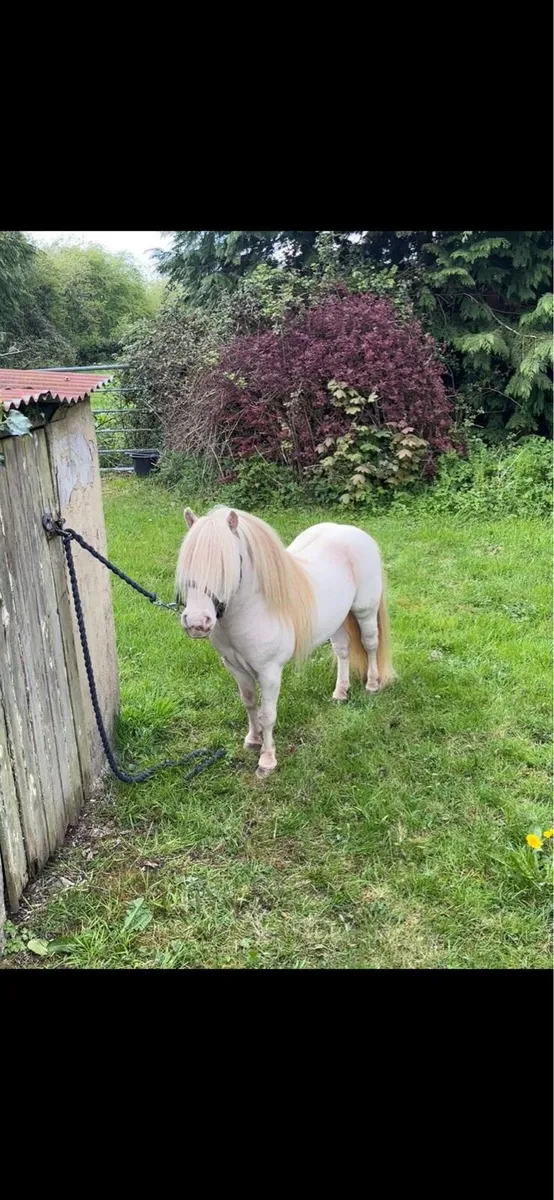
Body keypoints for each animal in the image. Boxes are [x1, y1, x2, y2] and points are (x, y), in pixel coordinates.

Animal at [176, 505, 394, 778]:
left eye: (227, 564)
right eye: (187, 563)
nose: (197, 623)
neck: (253, 609)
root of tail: (353, 532)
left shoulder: (270, 672)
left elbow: (268, 714)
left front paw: (267, 761)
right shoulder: (235, 668)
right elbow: (249, 704)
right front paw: (252, 740)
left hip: (365, 611)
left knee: (370, 644)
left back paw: (373, 684)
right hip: (337, 621)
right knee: (343, 650)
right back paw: (340, 692)